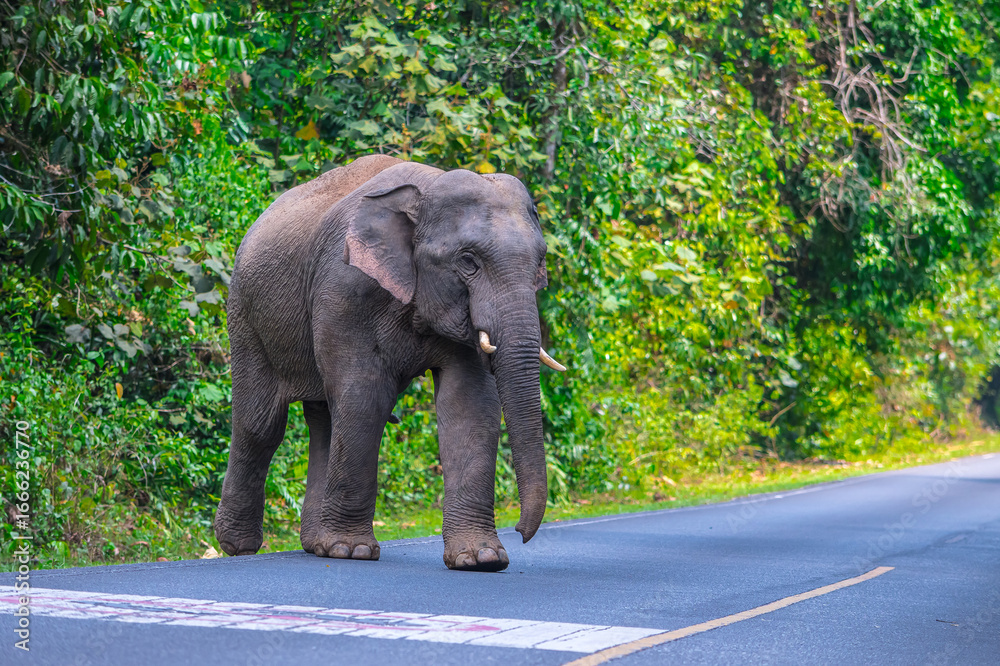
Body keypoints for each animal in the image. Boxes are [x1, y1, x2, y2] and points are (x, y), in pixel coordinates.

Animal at [213, 155, 565, 572]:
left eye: (541, 261)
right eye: (468, 260)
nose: (521, 532)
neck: (426, 191)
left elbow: (471, 404)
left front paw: (480, 560)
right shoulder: (344, 289)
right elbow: (365, 396)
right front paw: (352, 552)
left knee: (324, 420)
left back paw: (315, 544)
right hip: (245, 315)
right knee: (261, 424)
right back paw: (239, 547)